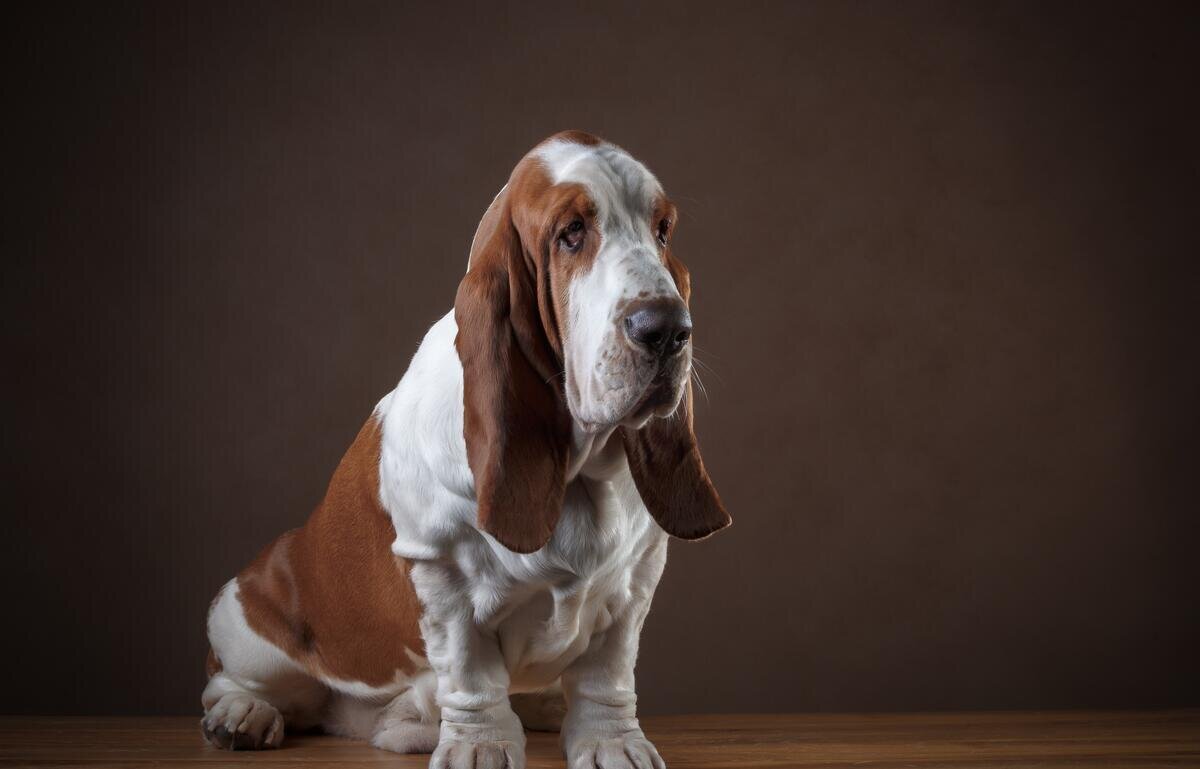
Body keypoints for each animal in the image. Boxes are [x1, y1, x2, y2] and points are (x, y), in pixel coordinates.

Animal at [200, 131, 724, 767]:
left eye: (663, 230)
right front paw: (482, 749)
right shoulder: (442, 580)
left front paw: (612, 743)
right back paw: (243, 715)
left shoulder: (636, 583)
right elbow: (473, 678)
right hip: (248, 622)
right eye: (571, 231)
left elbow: (607, 674)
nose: (668, 329)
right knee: (231, 680)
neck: (577, 472)